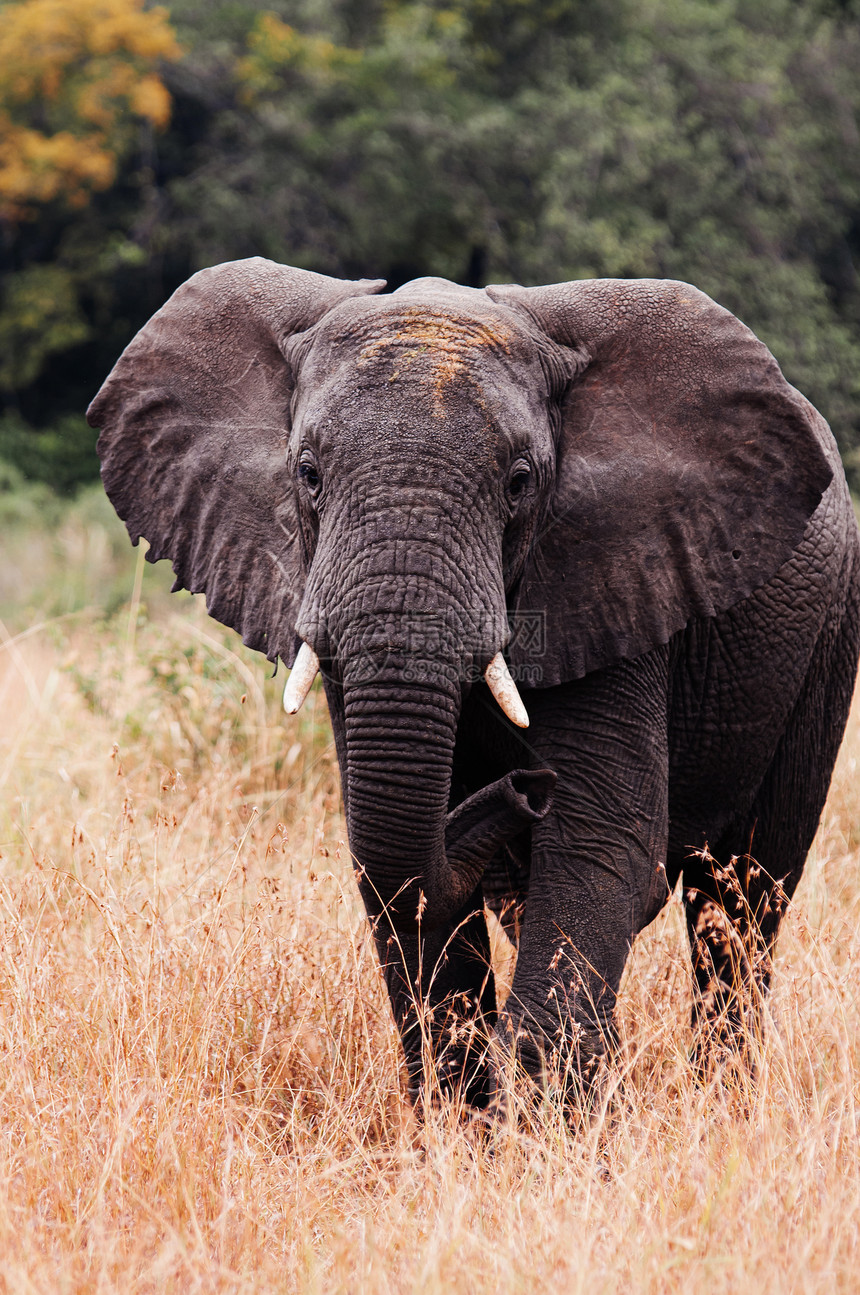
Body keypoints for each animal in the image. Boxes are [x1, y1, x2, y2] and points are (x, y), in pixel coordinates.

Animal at [87, 257, 860, 1108]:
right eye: (308, 473)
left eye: (520, 481)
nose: (524, 786)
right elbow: (394, 873)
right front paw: (466, 1123)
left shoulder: (617, 578)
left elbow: (599, 846)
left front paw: (550, 1123)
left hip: (826, 638)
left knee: (745, 899)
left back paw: (721, 1107)